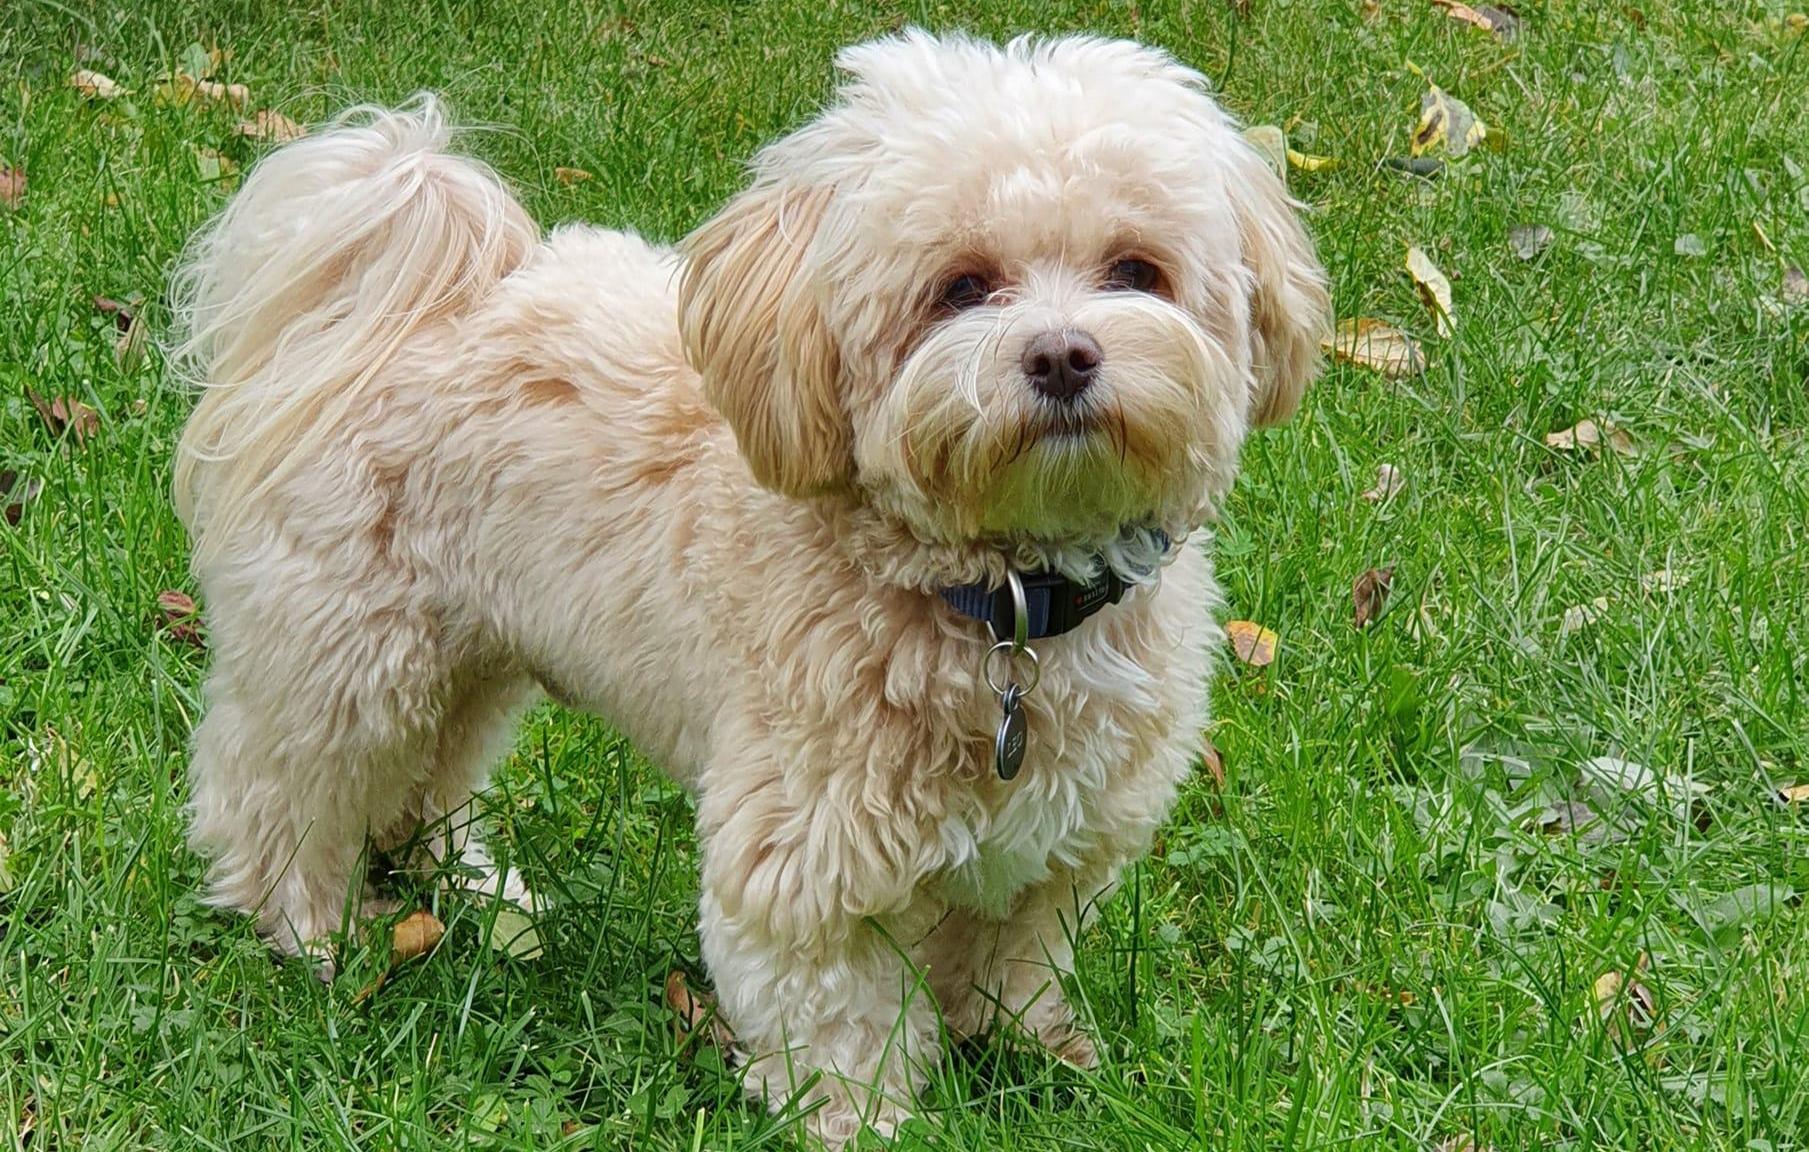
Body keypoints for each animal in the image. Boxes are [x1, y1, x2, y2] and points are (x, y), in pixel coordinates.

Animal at [170, 30, 1326, 1145]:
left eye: (1136, 270)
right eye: (960, 287)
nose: (1062, 356)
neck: (1007, 606)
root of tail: (408, 302)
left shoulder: (1055, 846)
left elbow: (1013, 963)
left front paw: (1033, 1059)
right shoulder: (808, 849)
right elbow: (836, 1011)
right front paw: (863, 1118)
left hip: (472, 652)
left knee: (422, 780)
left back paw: (474, 888)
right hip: (351, 649)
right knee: (281, 790)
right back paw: (308, 928)